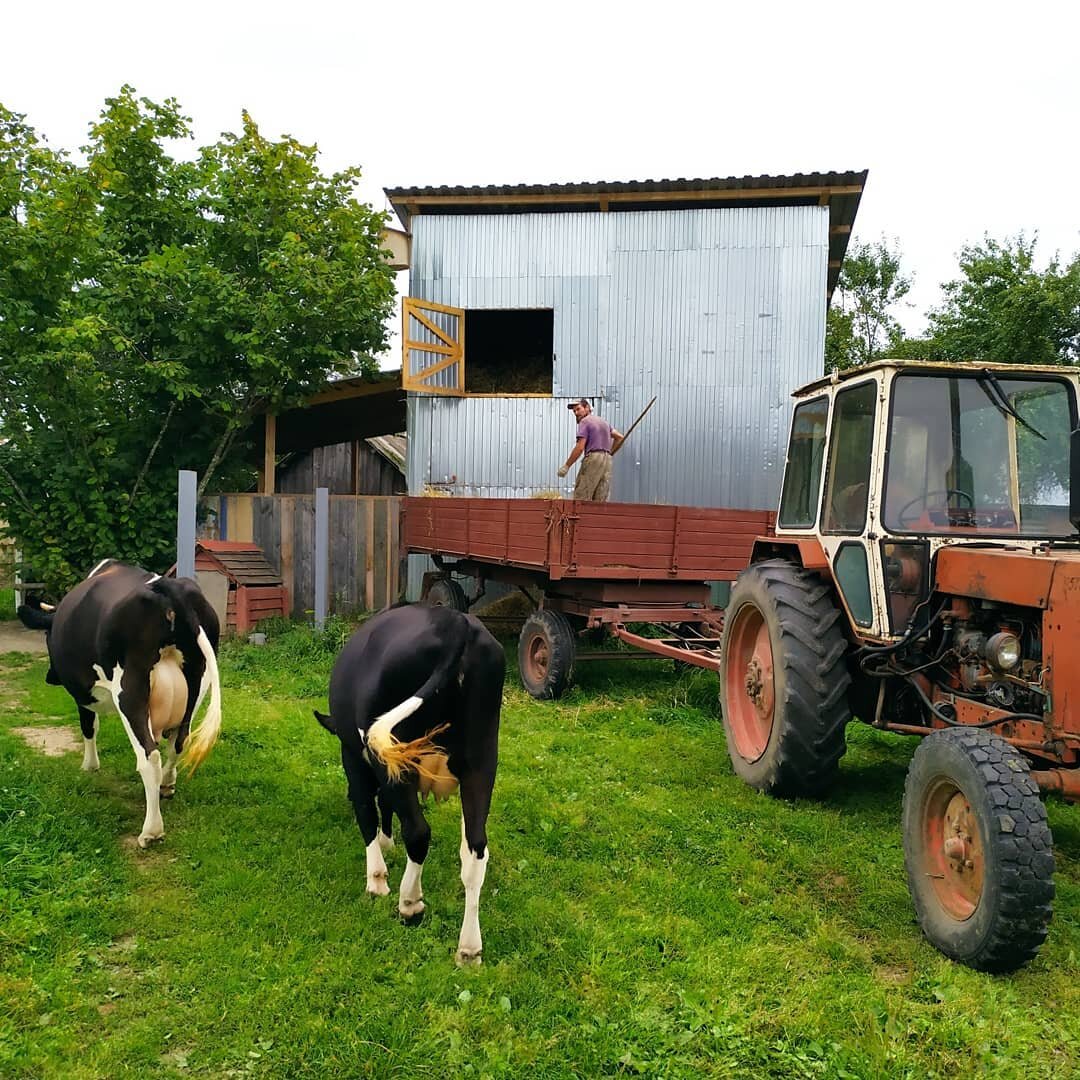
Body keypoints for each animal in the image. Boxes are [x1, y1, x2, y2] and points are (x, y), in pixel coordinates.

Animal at [17, 561, 222, 846]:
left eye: (47, 636)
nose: (50, 678)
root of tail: (169, 587)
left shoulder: (83, 696)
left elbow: (89, 727)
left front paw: (90, 766)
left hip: (130, 690)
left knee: (149, 755)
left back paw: (151, 831)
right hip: (196, 685)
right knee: (179, 741)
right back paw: (166, 785)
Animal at [315, 604, 505, 967]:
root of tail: (455, 622)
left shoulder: (354, 759)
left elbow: (367, 812)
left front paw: (376, 878)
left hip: (394, 755)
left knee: (418, 831)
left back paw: (409, 903)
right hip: (482, 760)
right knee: (476, 848)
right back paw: (469, 949)